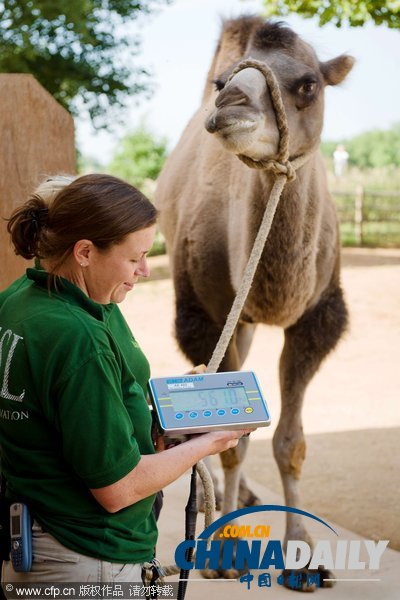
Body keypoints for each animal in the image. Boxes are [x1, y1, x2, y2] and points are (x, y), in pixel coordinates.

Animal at [155, 16, 354, 588]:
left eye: (309, 84)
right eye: (223, 82)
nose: (230, 105)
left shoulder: (316, 319)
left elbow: (290, 442)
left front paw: (304, 559)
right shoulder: (206, 315)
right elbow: (232, 439)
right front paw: (221, 551)